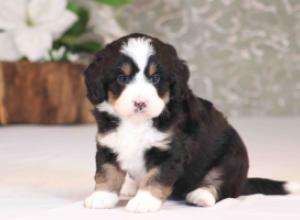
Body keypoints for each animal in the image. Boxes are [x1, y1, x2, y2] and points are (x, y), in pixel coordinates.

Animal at [82, 33, 300, 212]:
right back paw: (130, 186)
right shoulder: (108, 144)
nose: (140, 102)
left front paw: (144, 201)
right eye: (122, 78)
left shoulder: (170, 151)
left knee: (221, 184)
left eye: (156, 78)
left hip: (231, 157)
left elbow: (157, 176)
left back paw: (201, 194)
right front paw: (102, 197)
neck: (136, 123)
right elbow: (107, 172)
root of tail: (243, 180)